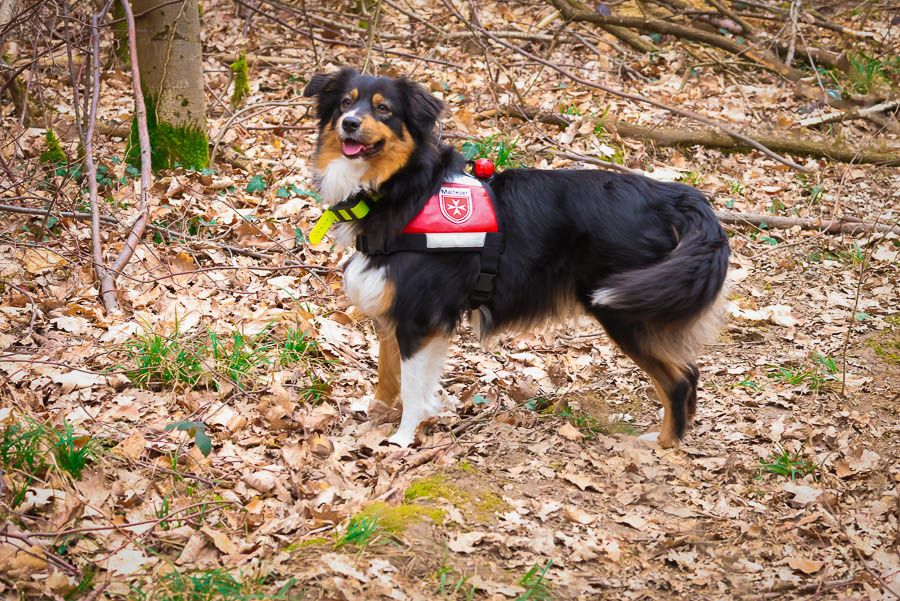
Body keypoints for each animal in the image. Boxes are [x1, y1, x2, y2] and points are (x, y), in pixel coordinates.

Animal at [306, 68, 728, 448]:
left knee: (679, 377)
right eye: (345, 103)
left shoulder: (418, 315)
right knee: (689, 371)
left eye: (384, 109)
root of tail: (675, 197)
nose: (349, 123)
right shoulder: (393, 312)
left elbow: (411, 386)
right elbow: (388, 373)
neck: (404, 188)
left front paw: (402, 439)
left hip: (627, 312)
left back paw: (665, 444)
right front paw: (377, 416)